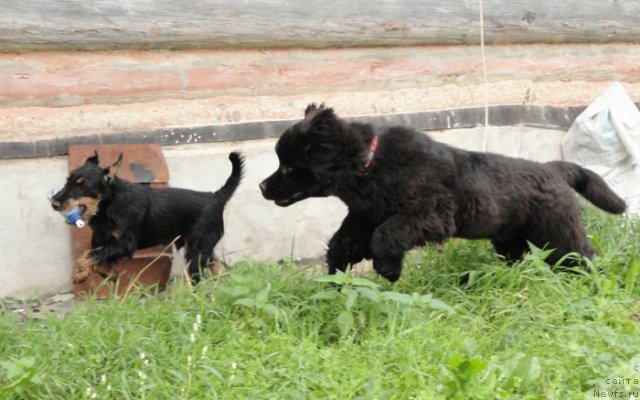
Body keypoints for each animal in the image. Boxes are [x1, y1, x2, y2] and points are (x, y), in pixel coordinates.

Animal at [50, 150, 244, 284]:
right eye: (68, 181)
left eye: (82, 185)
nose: (54, 203)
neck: (110, 205)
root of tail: (216, 197)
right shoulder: (102, 241)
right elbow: (97, 258)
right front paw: (108, 273)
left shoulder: (126, 243)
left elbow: (90, 255)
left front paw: (79, 271)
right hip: (202, 248)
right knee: (221, 269)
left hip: (197, 251)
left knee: (200, 277)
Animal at [258, 104, 624, 282]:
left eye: (289, 167)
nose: (262, 186)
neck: (369, 163)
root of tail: (555, 169)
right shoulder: (364, 216)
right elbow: (342, 243)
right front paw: (334, 279)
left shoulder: (431, 215)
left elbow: (386, 236)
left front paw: (389, 271)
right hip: (511, 240)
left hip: (559, 235)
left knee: (585, 257)